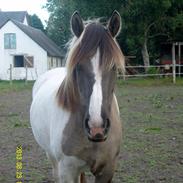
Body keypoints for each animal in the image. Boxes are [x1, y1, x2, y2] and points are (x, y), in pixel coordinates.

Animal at [30, 10, 124, 183]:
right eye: (78, 66)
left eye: (113, 66)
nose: (96, 127)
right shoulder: (67, 171)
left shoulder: (107, 170)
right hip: (52, 158)